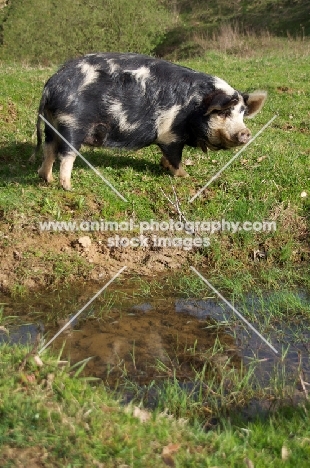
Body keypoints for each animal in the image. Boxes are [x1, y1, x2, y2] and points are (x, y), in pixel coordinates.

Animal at [32, 52, 268, 189]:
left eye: (242, 113)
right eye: (222, 113)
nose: (245, 132)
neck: (195, 107)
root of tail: (51, 86)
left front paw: (165, 167)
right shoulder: (171, 135)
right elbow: (175, 156)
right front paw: (184, 175)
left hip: (52, 123)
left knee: (49, 149)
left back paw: (46, 179)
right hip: (72, 123)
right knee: (65, 154)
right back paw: (68, 187)